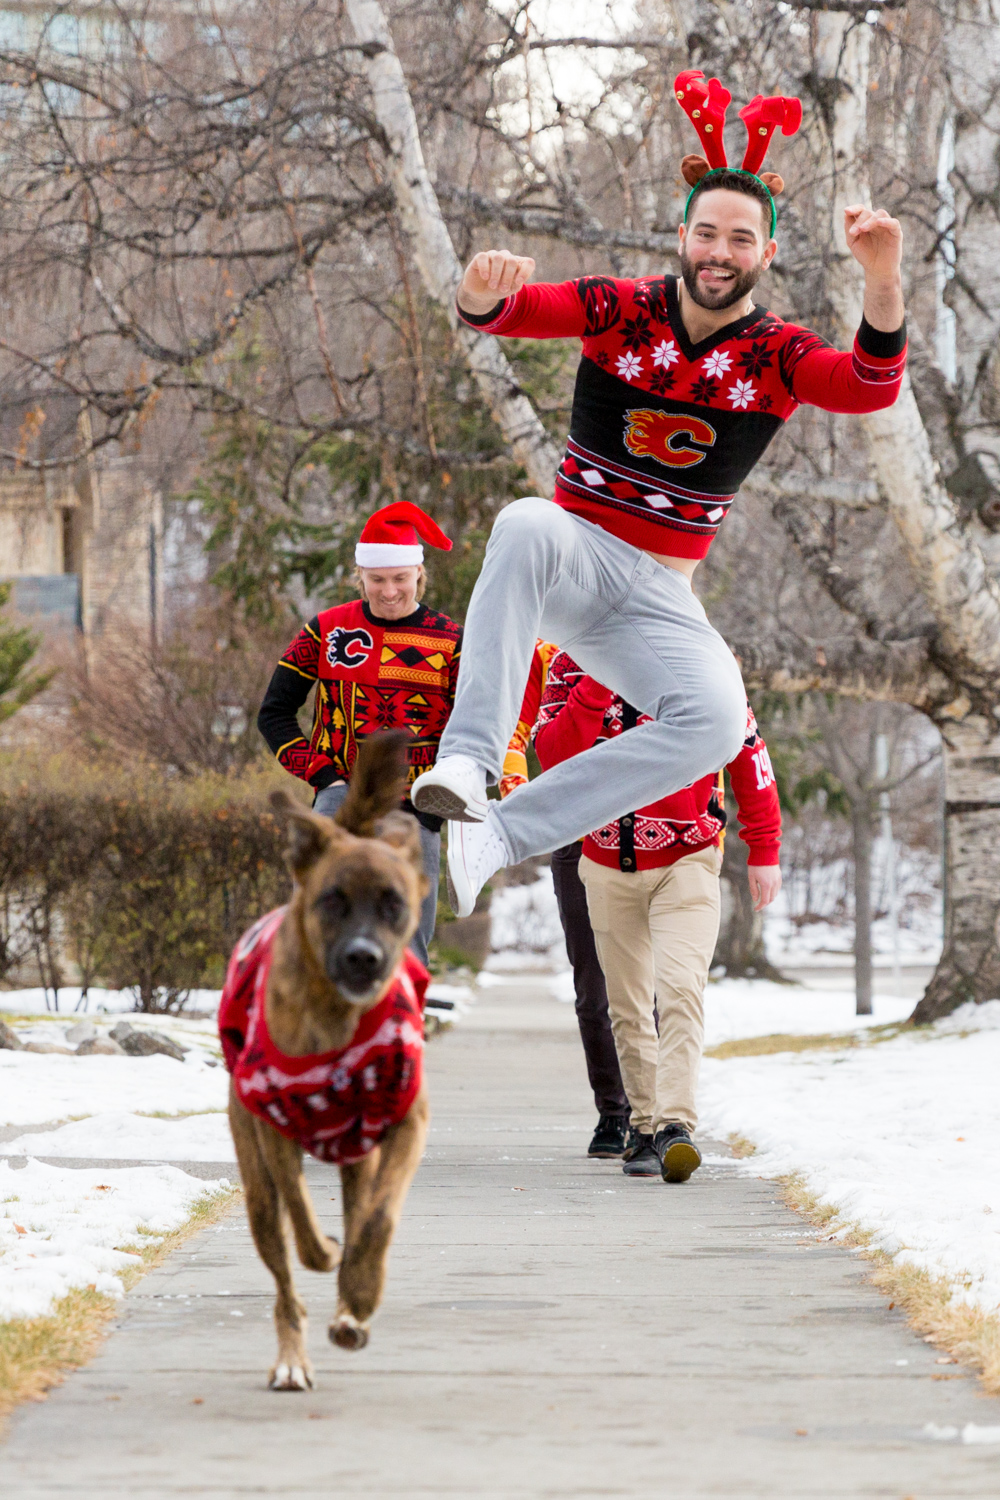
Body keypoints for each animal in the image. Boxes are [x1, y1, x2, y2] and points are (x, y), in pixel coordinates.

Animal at [220, 730, 431, 1390]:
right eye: (332, 900)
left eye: (393, 903)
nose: (364, 958)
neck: (337, 1018)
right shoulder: (274, 1131)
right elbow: (305, 1224)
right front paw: (330, 1254)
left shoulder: (405, 1121)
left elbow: (379, 1222)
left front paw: (361, 1293)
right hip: (255, 1183)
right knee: (283, 1267)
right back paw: (292, 1358)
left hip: (359, 1156)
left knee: (362, 1213)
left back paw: (348, 1309)